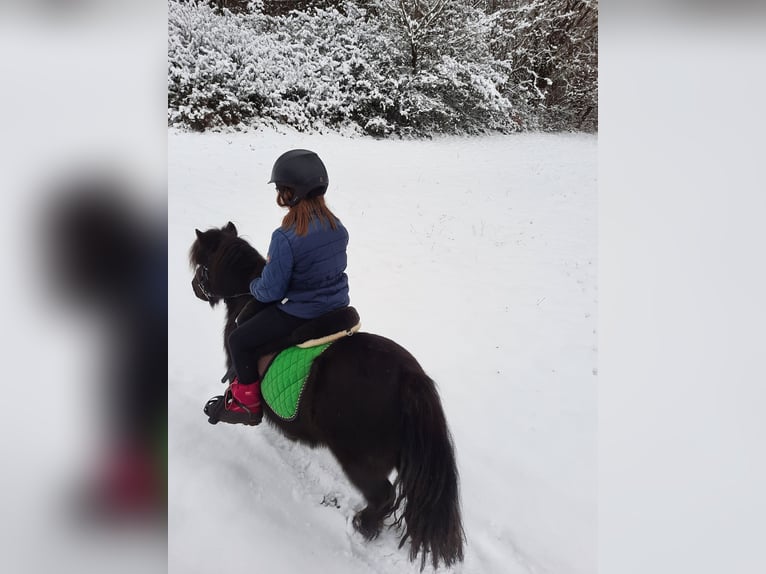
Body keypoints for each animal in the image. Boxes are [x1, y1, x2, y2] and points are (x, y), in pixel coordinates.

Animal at [192, 224, 468, 572]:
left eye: (202, 264)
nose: (194, 287)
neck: (249, 302)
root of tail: (410, 379)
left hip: (359, 459)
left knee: (383, 496)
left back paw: (364, 525)